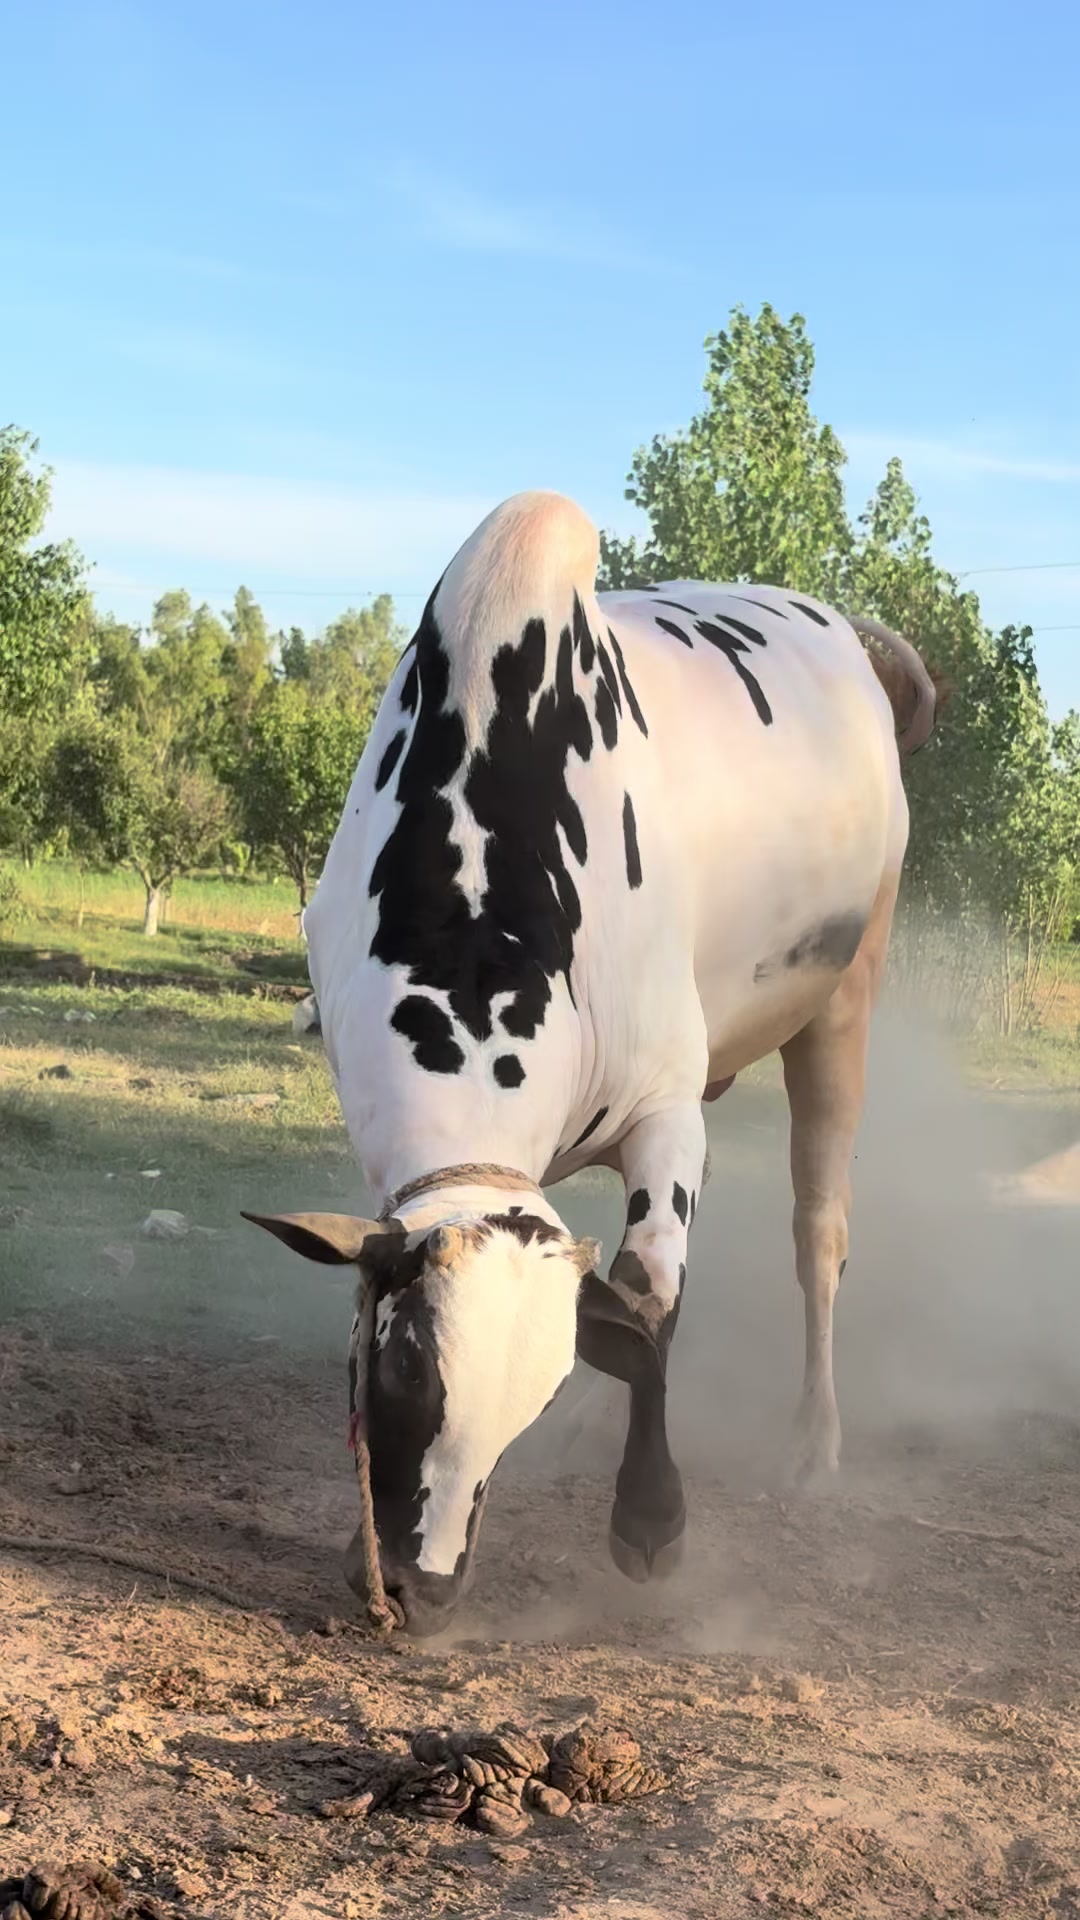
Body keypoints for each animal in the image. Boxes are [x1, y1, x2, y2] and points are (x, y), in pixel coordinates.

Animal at [244, 490, 939, 1637]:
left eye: (515, 1408)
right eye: (401, 1363)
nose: (425, 1588)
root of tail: (846, 635)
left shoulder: (665, 1108)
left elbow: (651, 1295)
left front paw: (651, 1519)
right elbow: (614, 1305)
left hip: (847, 997)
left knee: (817, 1236)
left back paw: (813, 1438)